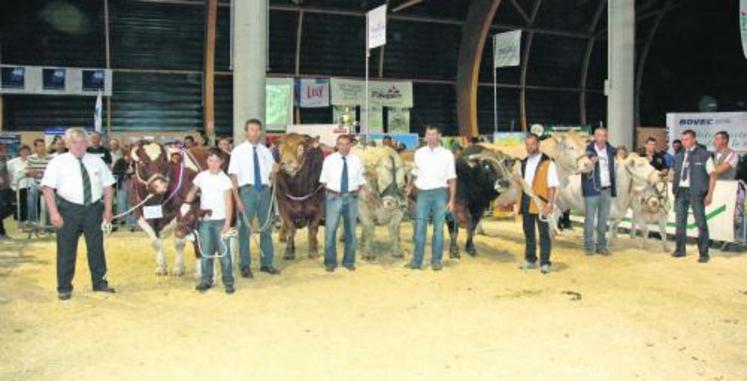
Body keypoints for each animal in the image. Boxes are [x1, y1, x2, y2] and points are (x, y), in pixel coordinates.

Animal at [274, 132, 322, 260]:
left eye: (301, 148)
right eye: (280, 148)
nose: (286, 162)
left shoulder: (318, 208)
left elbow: (313, 229)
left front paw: (313, 251)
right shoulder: (283, 206)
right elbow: (291, 228)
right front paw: (289, 252)